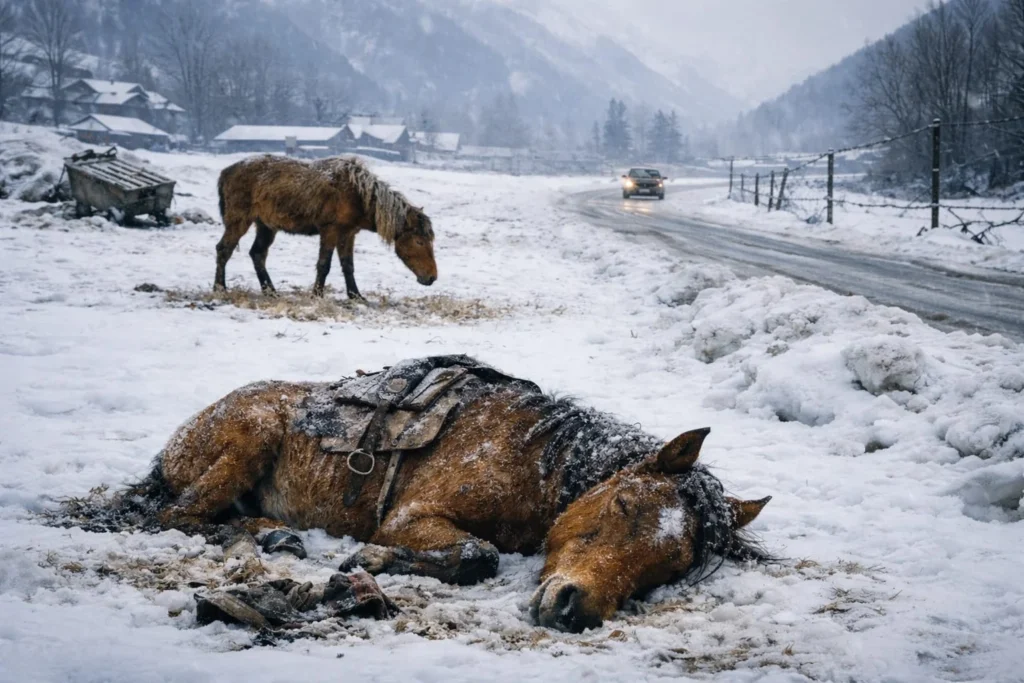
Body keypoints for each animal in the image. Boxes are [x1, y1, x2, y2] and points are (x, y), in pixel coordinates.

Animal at [135, 357, 772, 633]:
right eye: (623, 505)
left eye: (670, 567)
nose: (576, 610)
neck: (531, 463)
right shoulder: (411, 519)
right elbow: (477, 555)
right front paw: (372, 558)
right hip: (250, 438)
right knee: (179, 515)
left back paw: (278, 535)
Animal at [215, 155, 437, 298]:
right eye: (419, 241)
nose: (432, 277)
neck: (357, 195)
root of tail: (226, 172)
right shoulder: (330, 230)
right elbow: (324, 265)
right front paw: (317, 295)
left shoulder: (348, 234)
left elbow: (348, 266)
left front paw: (356, 296)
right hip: (239, 221)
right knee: (224, 250)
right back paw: (220, 288)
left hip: (266, 226)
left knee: (258, 255)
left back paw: (270, 291)